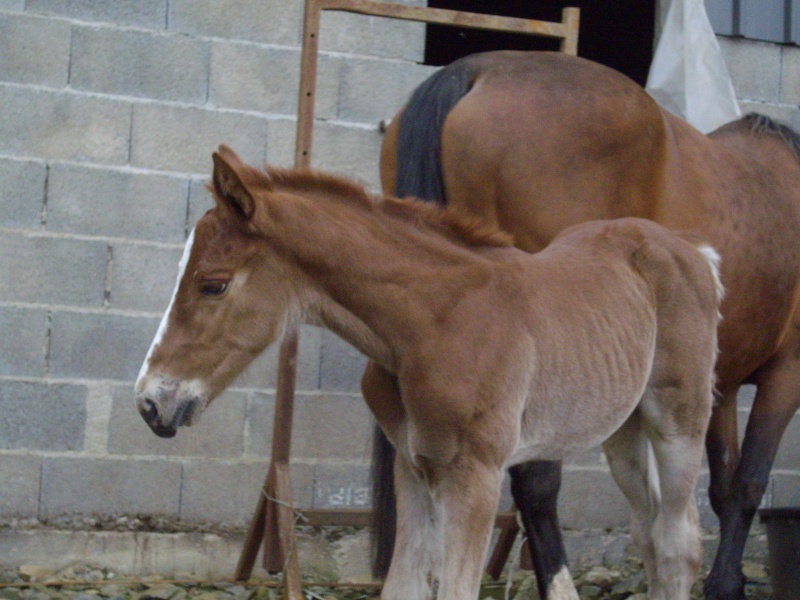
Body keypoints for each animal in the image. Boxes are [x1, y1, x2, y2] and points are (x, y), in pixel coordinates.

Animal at [134, 146, 720, 600]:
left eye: (213, 284)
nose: (150, 402)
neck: (433, 322)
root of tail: (692, 250)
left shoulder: (477, 475)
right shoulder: (415, 467)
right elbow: (405, 586)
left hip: (679, 422)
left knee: (678, 543)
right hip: (623, 432)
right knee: (649, 533)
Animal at [368, 51, 800, 600]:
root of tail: (481, 68)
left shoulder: (718, 383)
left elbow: (723, 487)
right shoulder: (787, 373)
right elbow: (748, 484)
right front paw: (726, 584)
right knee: (536, 482)